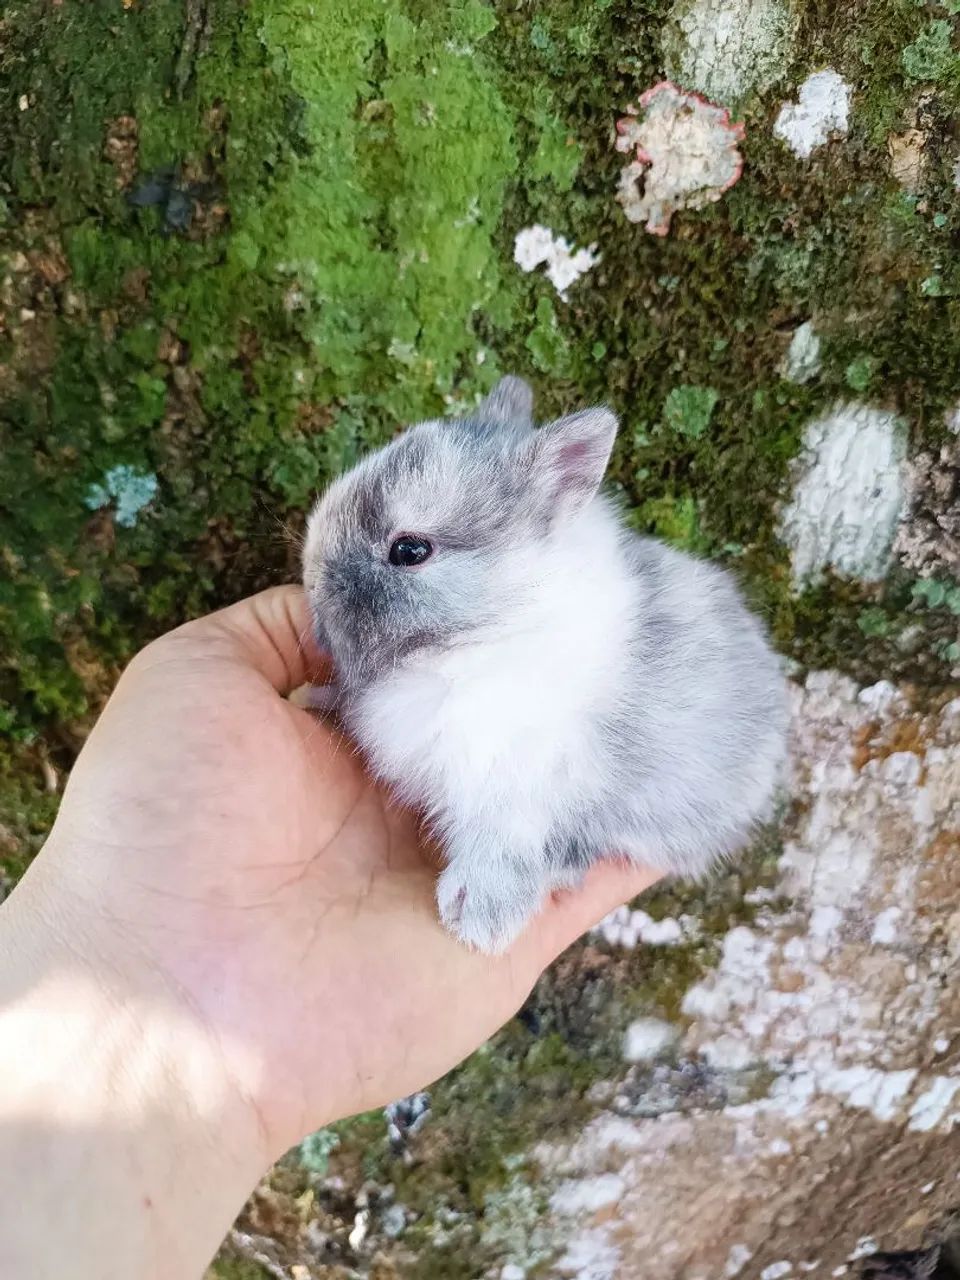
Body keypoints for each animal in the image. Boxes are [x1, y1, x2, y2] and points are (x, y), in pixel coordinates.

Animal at [302, 375, 788, 954]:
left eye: (410, 550)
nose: (309, 580)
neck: (491, 629)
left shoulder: (514, 787)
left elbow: (503, 849)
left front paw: (477, 920)